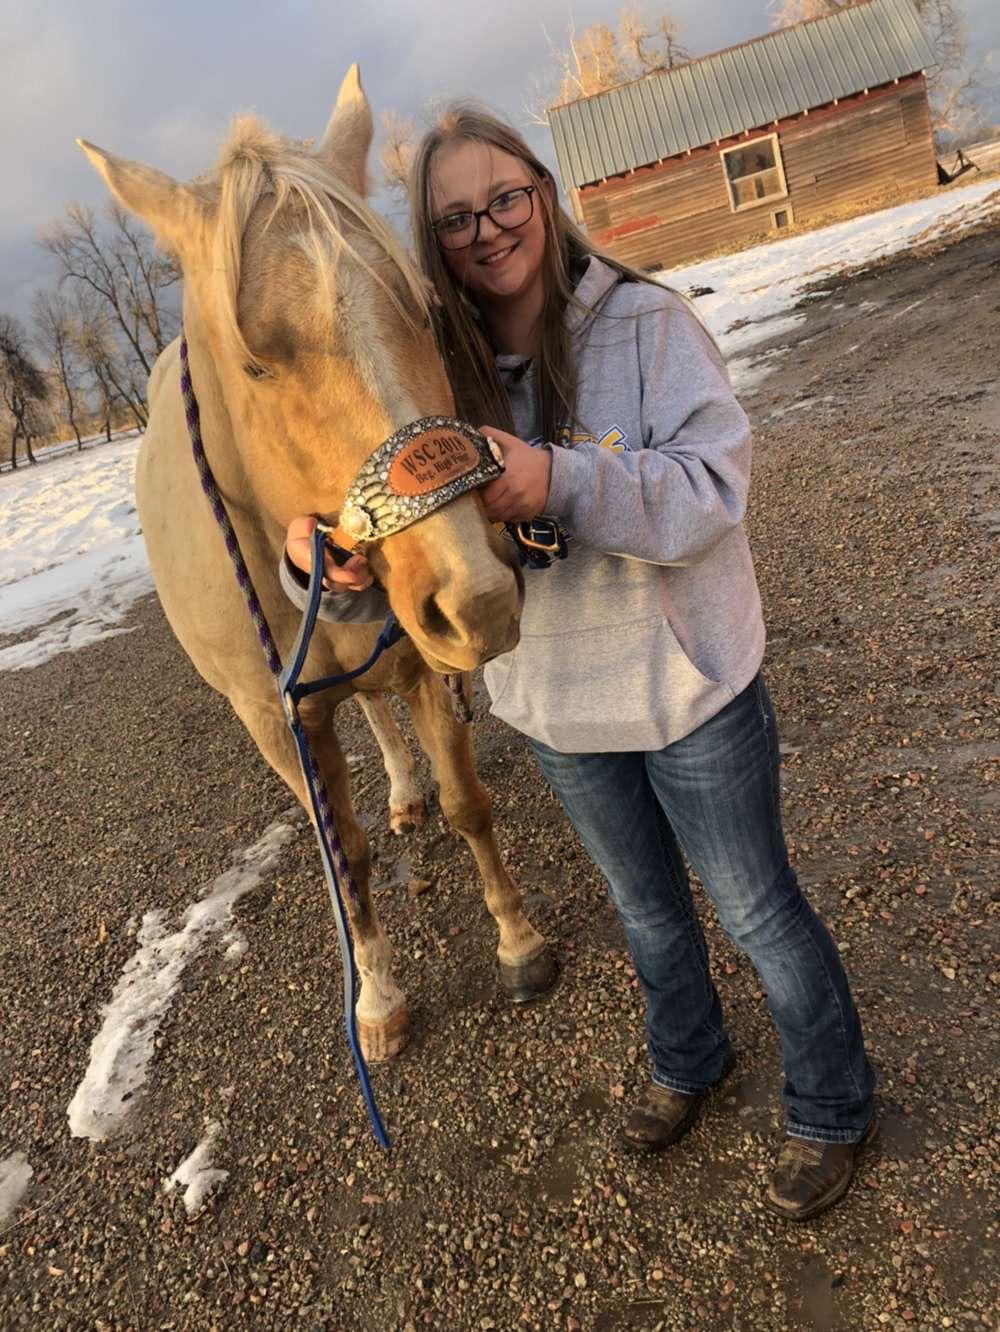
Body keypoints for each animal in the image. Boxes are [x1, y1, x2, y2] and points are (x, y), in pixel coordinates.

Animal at [77, 66, 556, 1062]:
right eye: (257, 363)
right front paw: (378, 1001)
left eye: (424, 306)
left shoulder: (420, 653)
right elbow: (350, 861)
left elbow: (468, 800)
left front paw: (519, 940)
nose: (479, 596)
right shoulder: (278, 720)